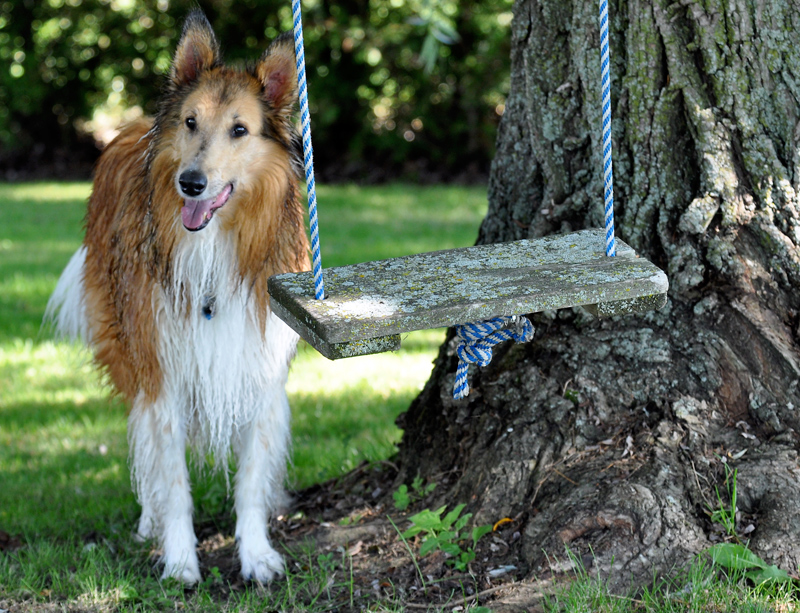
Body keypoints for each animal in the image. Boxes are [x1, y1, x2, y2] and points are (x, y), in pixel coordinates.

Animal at [45, 10, 310, 583]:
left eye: (239, 129)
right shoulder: (162, 368)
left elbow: (250, 478)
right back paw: (150, 521)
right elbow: (172, 478)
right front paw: (181, 559)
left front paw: (257, 556)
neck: (212, 248)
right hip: (125, 344)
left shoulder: (258, 366)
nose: (190, 183)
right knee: (139, 433)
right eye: (190, 122)